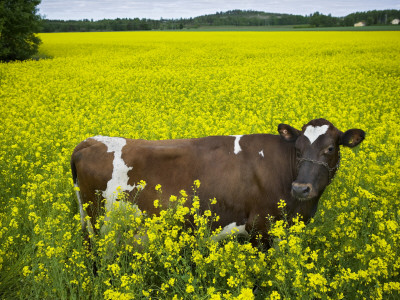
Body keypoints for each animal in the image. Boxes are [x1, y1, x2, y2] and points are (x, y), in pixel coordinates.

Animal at [70, 118, 364, 245]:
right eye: (299, 148)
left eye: (330, 148)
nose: (301, 188)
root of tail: (90, 141)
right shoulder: (261, 229)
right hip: (98, 225)